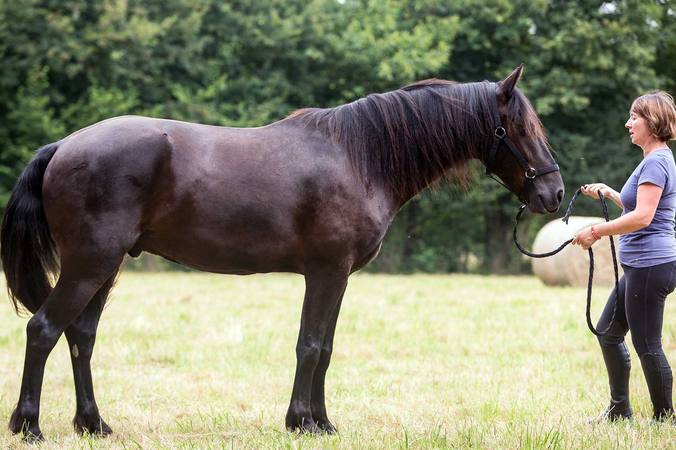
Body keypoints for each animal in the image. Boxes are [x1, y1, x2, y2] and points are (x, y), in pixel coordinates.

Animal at [1, 65, 563, 440]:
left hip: (106, 267)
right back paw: (29, 426)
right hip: (89, 264)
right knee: (44, 329)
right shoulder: (327, 272)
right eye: (518, 128)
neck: (360, 157)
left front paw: (322, 420)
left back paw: (93, 424)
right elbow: (310, 345)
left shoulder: (339, 276)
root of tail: (62, 146)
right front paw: (302, 422)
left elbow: (326, 348)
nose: (555, 195)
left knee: (81, 336)